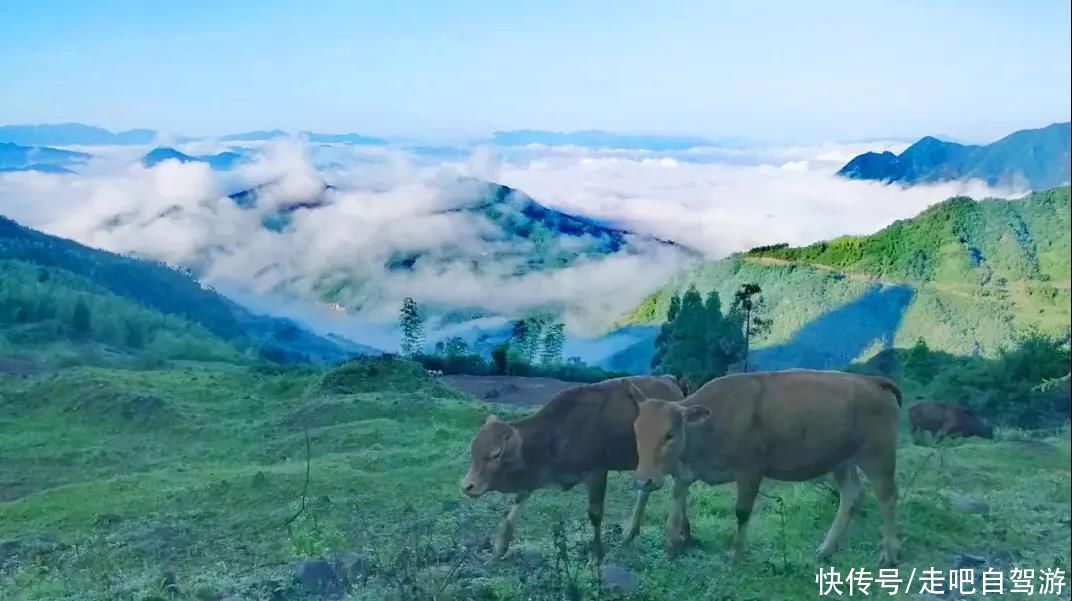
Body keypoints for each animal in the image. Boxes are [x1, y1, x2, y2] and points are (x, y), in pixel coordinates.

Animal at [458, 372, 677, 561]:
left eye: (495, 455)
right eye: (473, 450)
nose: (467, 486)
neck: (556, 434)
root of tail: (669, 380)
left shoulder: (597, 473)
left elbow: (595, 515)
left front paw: (595, 556)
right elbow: (514, 508)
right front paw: (499, 548)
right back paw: (630, 533)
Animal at [630, 368, 900, 565]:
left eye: (669, 435)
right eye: (637, 432)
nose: (644, 480)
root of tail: (873, 381)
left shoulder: (750, 471)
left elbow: (741, 512)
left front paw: (736, 554)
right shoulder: (685, 473)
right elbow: (676, 504)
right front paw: (672, 545)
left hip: (879, 456)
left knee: (887, 498)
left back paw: (889, 553)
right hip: (840, 460)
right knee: (851, 495)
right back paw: (825, 550)